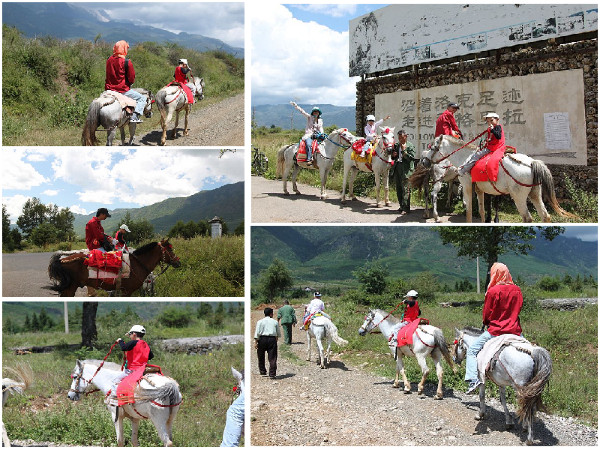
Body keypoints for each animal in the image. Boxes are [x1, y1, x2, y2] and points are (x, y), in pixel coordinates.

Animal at [47, 239, 179, 298]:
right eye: (170, 249)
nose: (178, 262)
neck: (137, 264)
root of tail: (63, 259)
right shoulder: (127, 291)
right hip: (70, 288)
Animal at [422, 135, 572, 223]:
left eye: (433, 147)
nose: (424, 162)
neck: (466, 157)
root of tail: (531, 163)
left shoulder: (467, 186)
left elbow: (469, 211)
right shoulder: (480, 190)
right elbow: (482, 211)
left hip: (519, 196)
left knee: (527, 218)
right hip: (535, 193)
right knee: (545, 216)